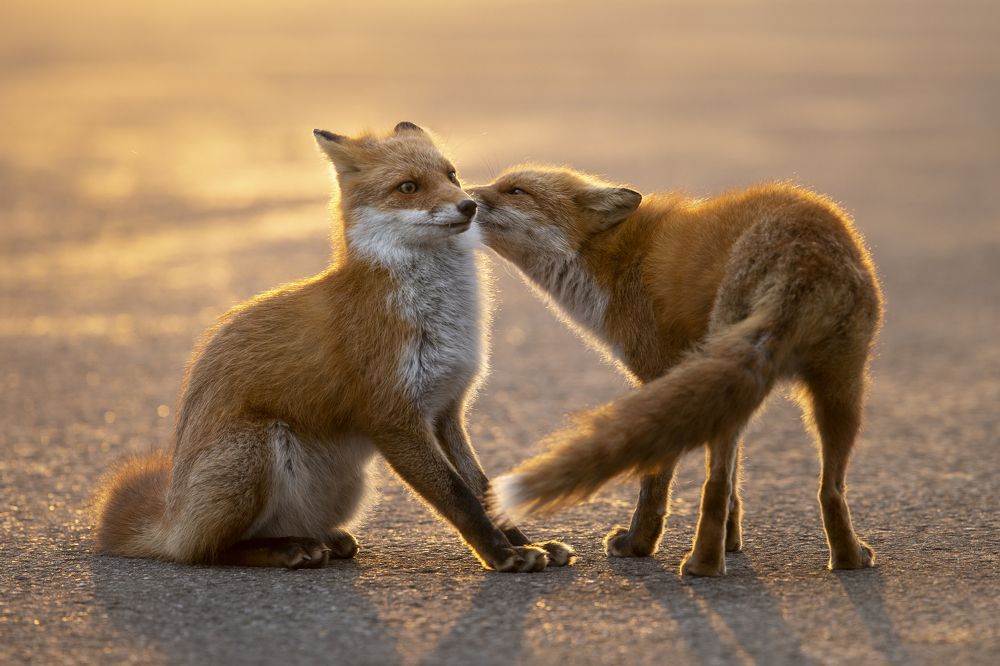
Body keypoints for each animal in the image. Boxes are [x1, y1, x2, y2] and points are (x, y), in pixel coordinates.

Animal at [93, 123, 574, 572]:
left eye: (451, 175)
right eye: (408, 187)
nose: (469, 205)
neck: (435, 312)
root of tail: (171, 518)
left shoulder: (446, 409)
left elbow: (483, 488)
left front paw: (525, 542)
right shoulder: (393, 417)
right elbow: (460, 498)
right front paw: (502, 555)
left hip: (350, 484)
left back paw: (323, 539)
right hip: (254, 450)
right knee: (204, 553)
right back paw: (287, 549)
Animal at [470, 165, 883, 576]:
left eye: (516, 190)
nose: (464, 195)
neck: (615, 262)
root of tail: (802, 249)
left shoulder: (659, 373)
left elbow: (656, 484)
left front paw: (638, 545)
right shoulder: (711, 382)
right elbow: (736, 484)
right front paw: (733, 540)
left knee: (715, 485)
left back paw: (703, 565)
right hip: (839, 388)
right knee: (828, 489)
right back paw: (847, 558)